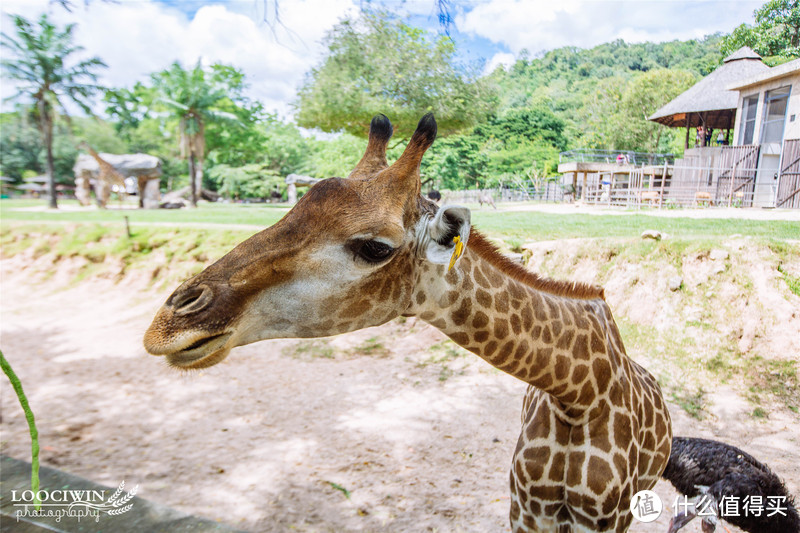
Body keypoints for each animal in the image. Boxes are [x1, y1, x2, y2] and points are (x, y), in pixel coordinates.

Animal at [145, 114, 676, 528]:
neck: (578, 393)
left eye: (374, 247)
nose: (166, 326)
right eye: (290, 208)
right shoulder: (526, 509)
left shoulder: (606, 517)